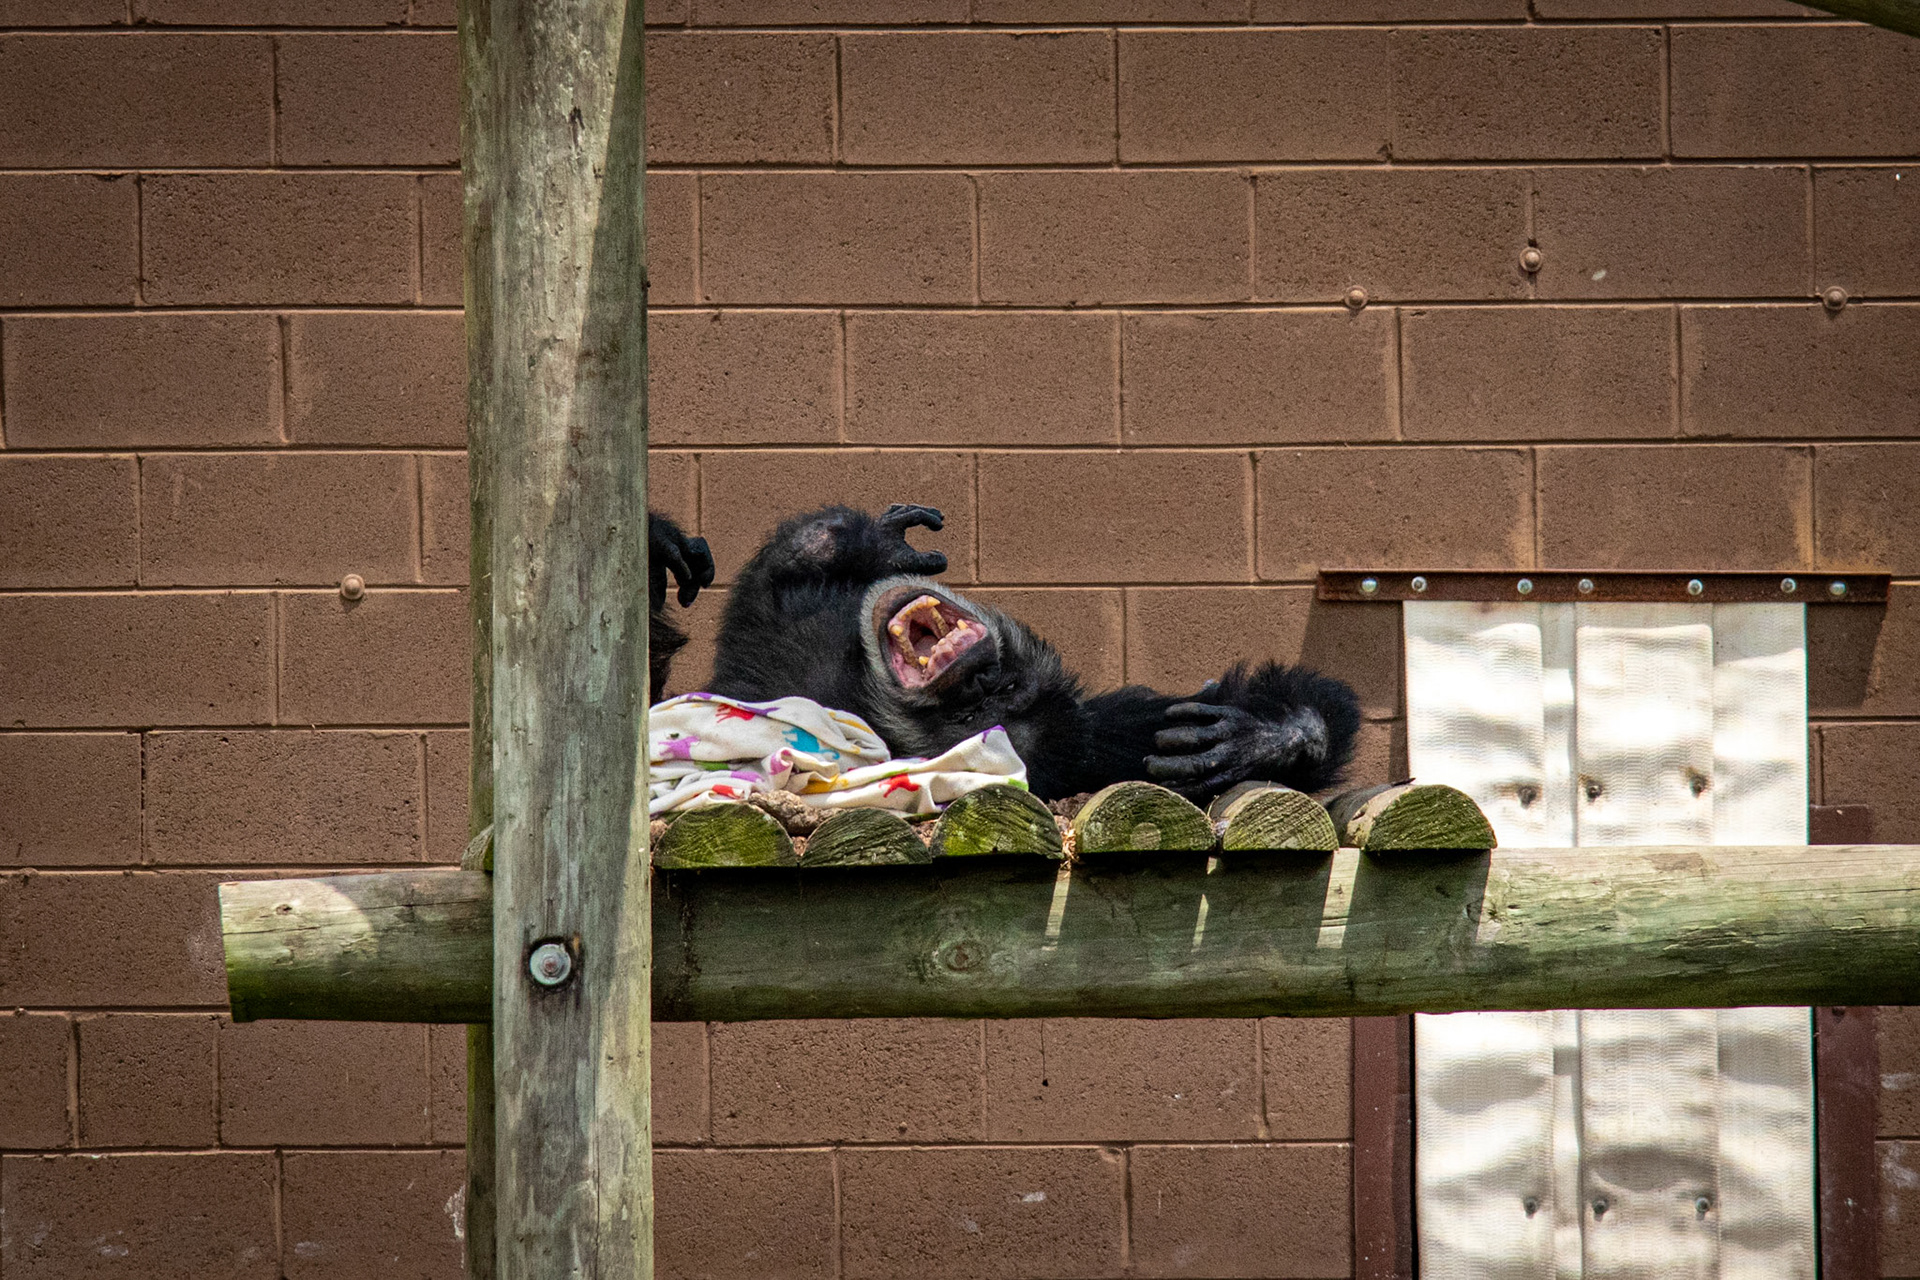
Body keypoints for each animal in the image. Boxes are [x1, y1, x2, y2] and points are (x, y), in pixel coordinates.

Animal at [703, 503, 1360, 803]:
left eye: (990, 699)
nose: (976, 677)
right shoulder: (770, 644)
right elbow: (773, 585)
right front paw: (868, 543)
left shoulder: (1095, 739)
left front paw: (1262, 739)